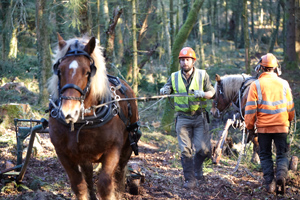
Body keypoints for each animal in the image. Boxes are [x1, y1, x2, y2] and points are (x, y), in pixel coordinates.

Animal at [47, 33, 139, 199]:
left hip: (127, 147)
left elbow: (105, 185)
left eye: (87, 72)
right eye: (60, 71)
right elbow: (79, 186)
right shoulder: (63, 153)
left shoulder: (113, 151)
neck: (86, 121)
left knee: (119, 173)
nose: (68, 112)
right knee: (88, 175)